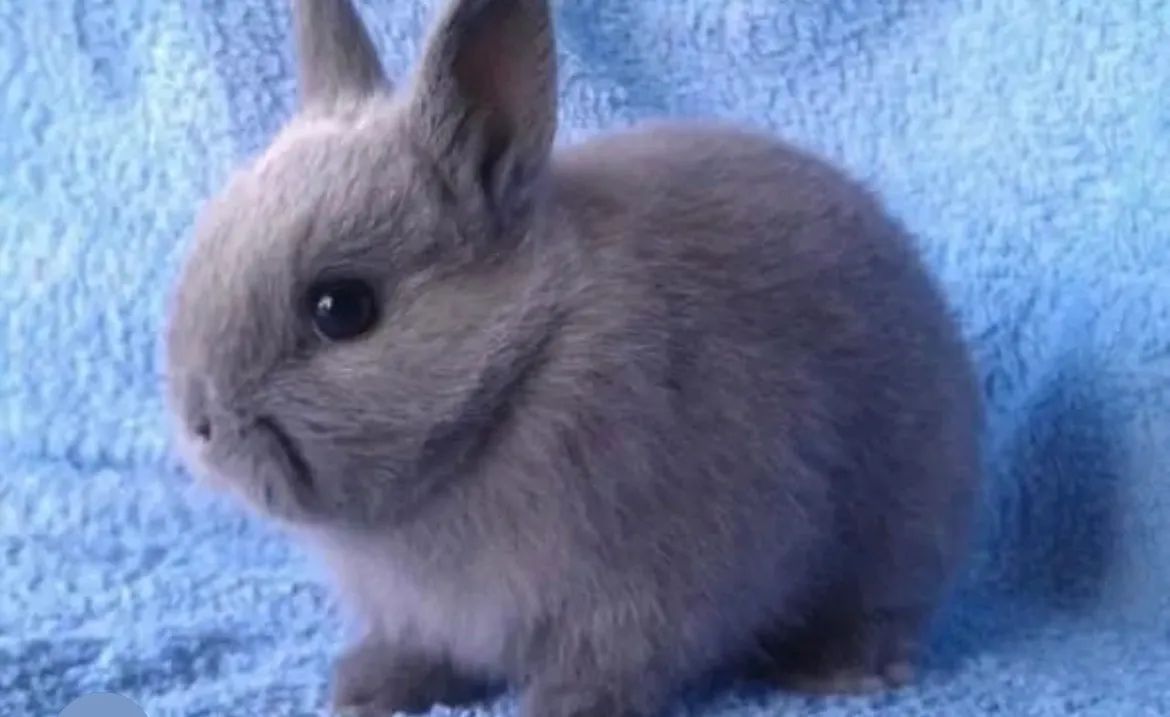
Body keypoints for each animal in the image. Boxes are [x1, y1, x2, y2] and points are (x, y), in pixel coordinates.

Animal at [163, 0, 984, 715]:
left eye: (342, 308)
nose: (201, 425)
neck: (516, 372)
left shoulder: (639, 593)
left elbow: (610, 666)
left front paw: (559, 709)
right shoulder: (420, 612)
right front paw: (368, 690)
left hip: (894, 529)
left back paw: (842, 668)